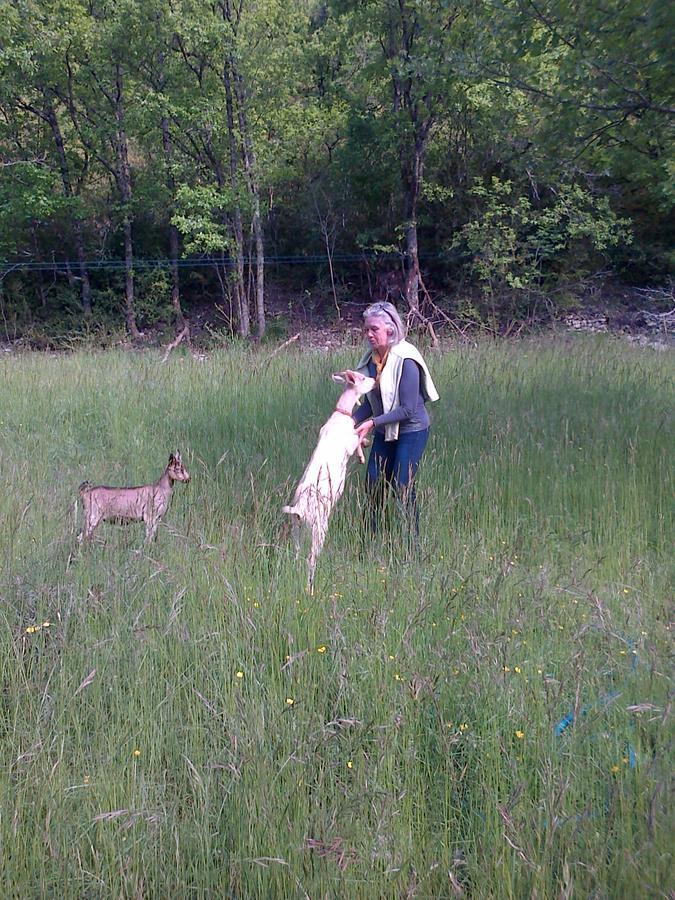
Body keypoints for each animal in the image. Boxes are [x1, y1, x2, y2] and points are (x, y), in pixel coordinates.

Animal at [280, 370, 374, 596]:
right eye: (362, 378)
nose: (375, 380)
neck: (340, 415)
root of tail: (299, 510)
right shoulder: (349, 442)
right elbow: (359, 434)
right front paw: (362, 453)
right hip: (318, 530)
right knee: (310, 559)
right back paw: (311, 589)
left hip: (297, 531)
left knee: (297, 555)